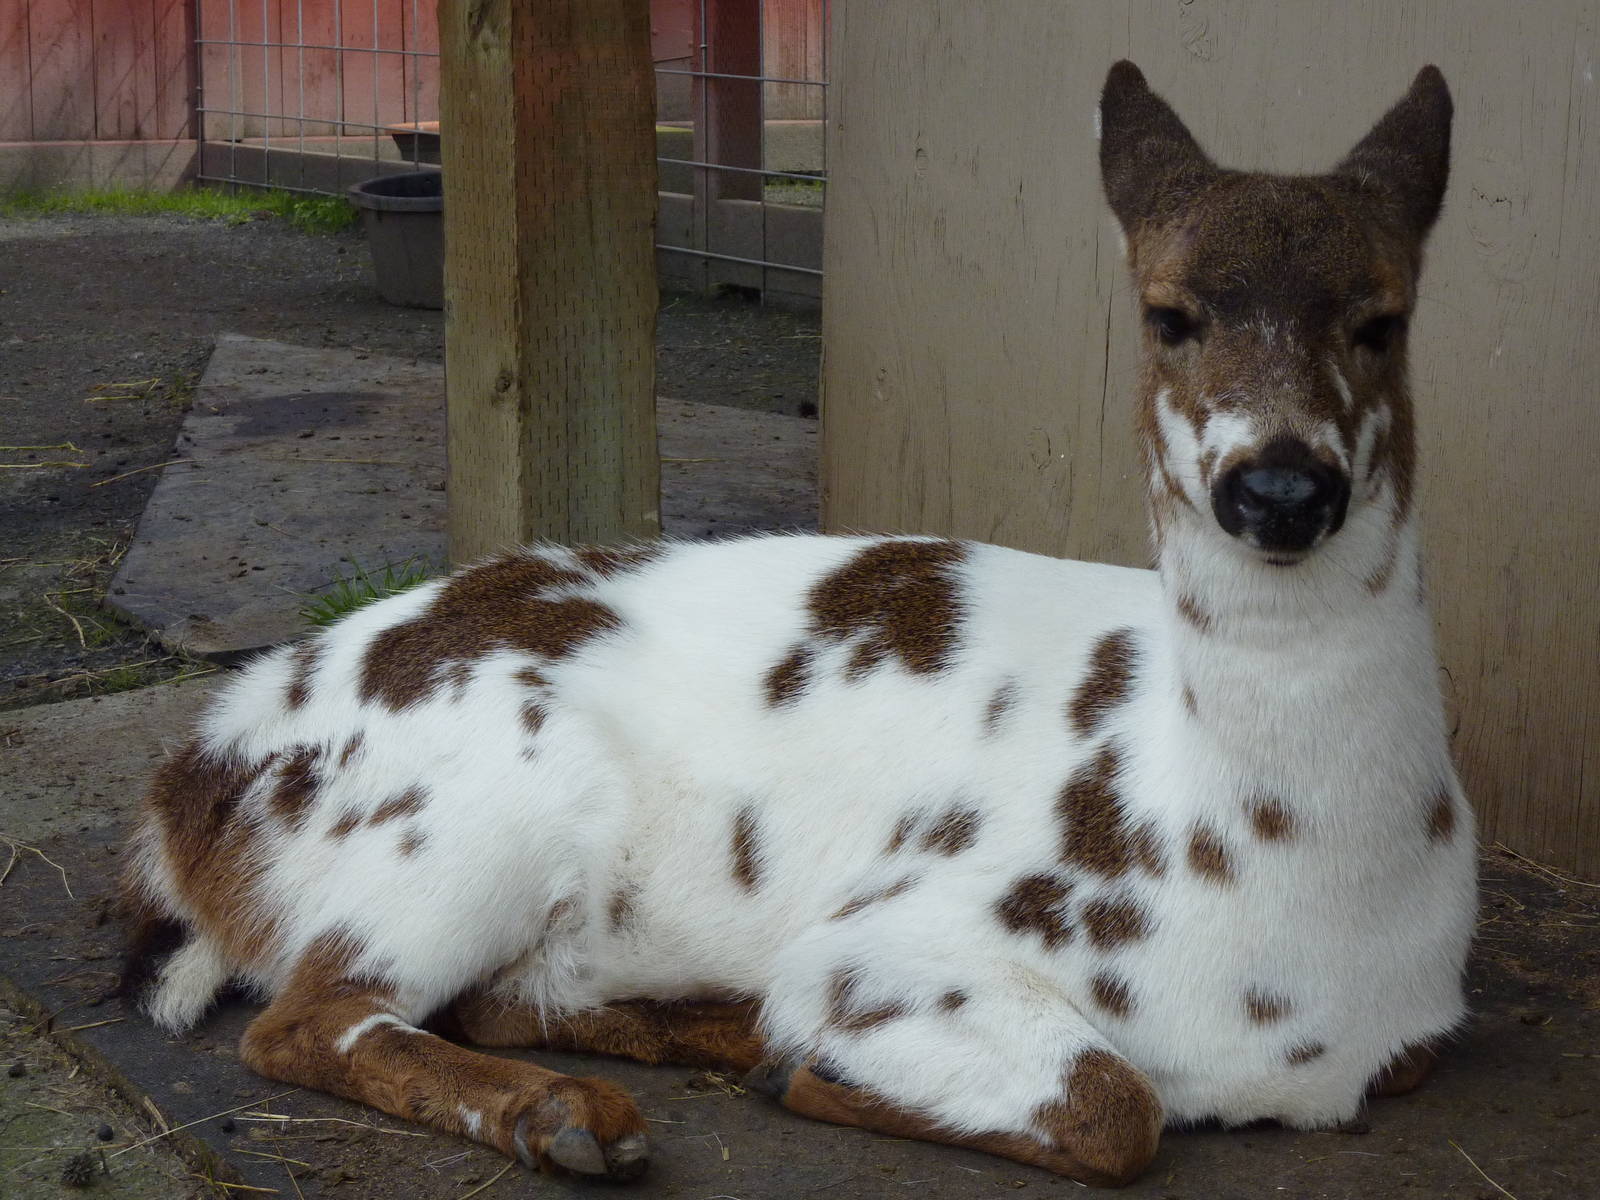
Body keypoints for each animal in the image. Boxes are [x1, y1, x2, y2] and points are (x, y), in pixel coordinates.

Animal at [120, 61, 1475, 1188]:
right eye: (1168, 313)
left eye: (1384, 318)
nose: (1281, 488)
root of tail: (194, 784)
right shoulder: (893, 937)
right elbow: (1116, 1108)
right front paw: (810, 1071)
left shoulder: (1415, 1026)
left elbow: (1377, 1065)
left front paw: (775, 1056)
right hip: (468, 809)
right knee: (310, 1016)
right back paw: (580, 1116)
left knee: (478, 994)